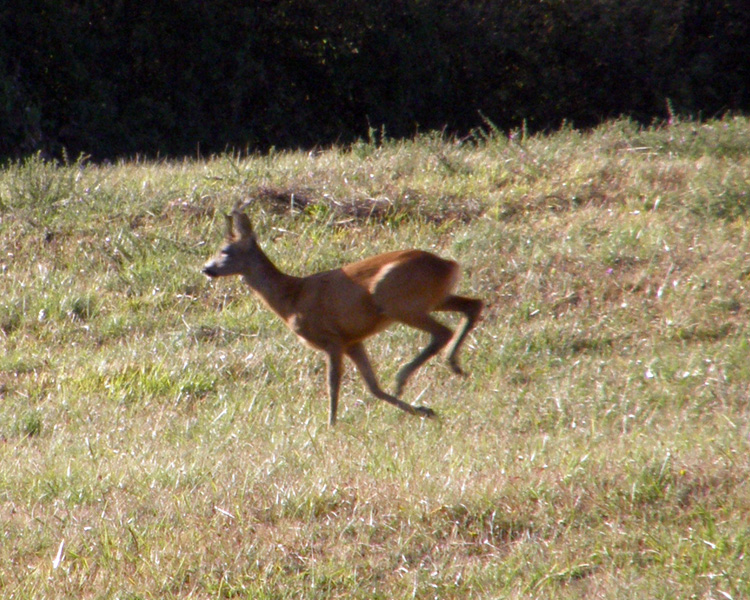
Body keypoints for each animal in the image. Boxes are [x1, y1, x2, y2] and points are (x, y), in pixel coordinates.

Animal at [203, 206, 484, 426]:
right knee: (473, 305)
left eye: (225, 250)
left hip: (394, 298)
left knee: (443, 331)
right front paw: (424, 410)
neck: (291, 297)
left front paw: (331, 425)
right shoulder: (353, 341)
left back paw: (406, 376)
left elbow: (333, 384)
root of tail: (449, 264)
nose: (206, 269)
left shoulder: (332, 338)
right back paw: (454, 366)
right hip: (430, 298)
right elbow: (373, 387)